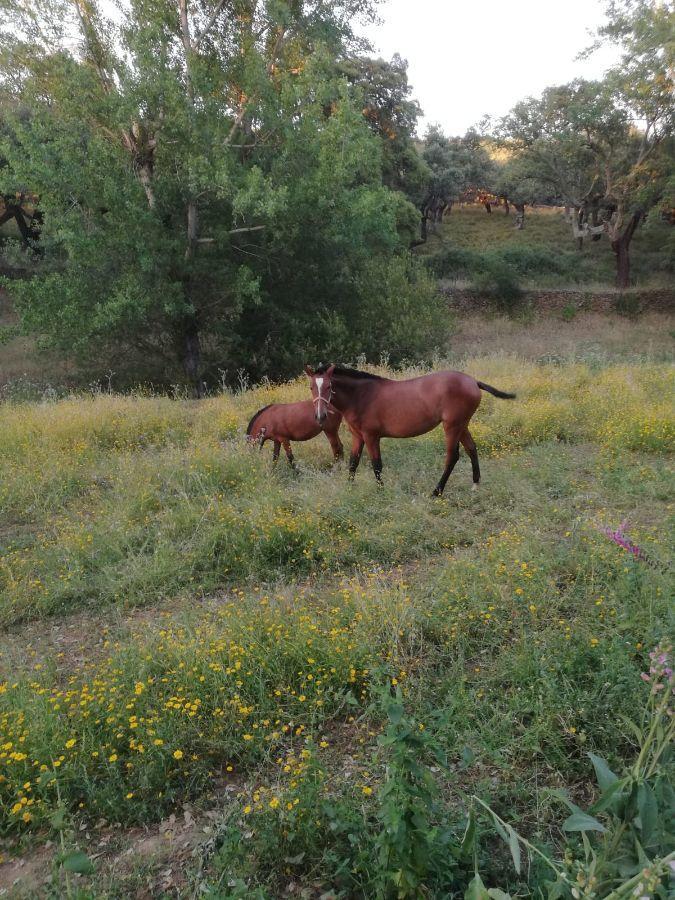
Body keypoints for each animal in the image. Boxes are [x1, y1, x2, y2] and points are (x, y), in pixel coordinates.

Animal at [306, 362, 516, 496]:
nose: (320, 416)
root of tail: (473, 381)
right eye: (311, 387)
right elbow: (353, 463)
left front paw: (381, 492)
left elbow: (376, 465)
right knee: (471, 448)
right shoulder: (358, 436)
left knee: (452, 456)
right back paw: (475, 485)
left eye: (329, 386)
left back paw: (436, 491)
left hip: (452, 426)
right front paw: (349, 489)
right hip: (462, 425)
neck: (361, 395)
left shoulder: (371, 436)